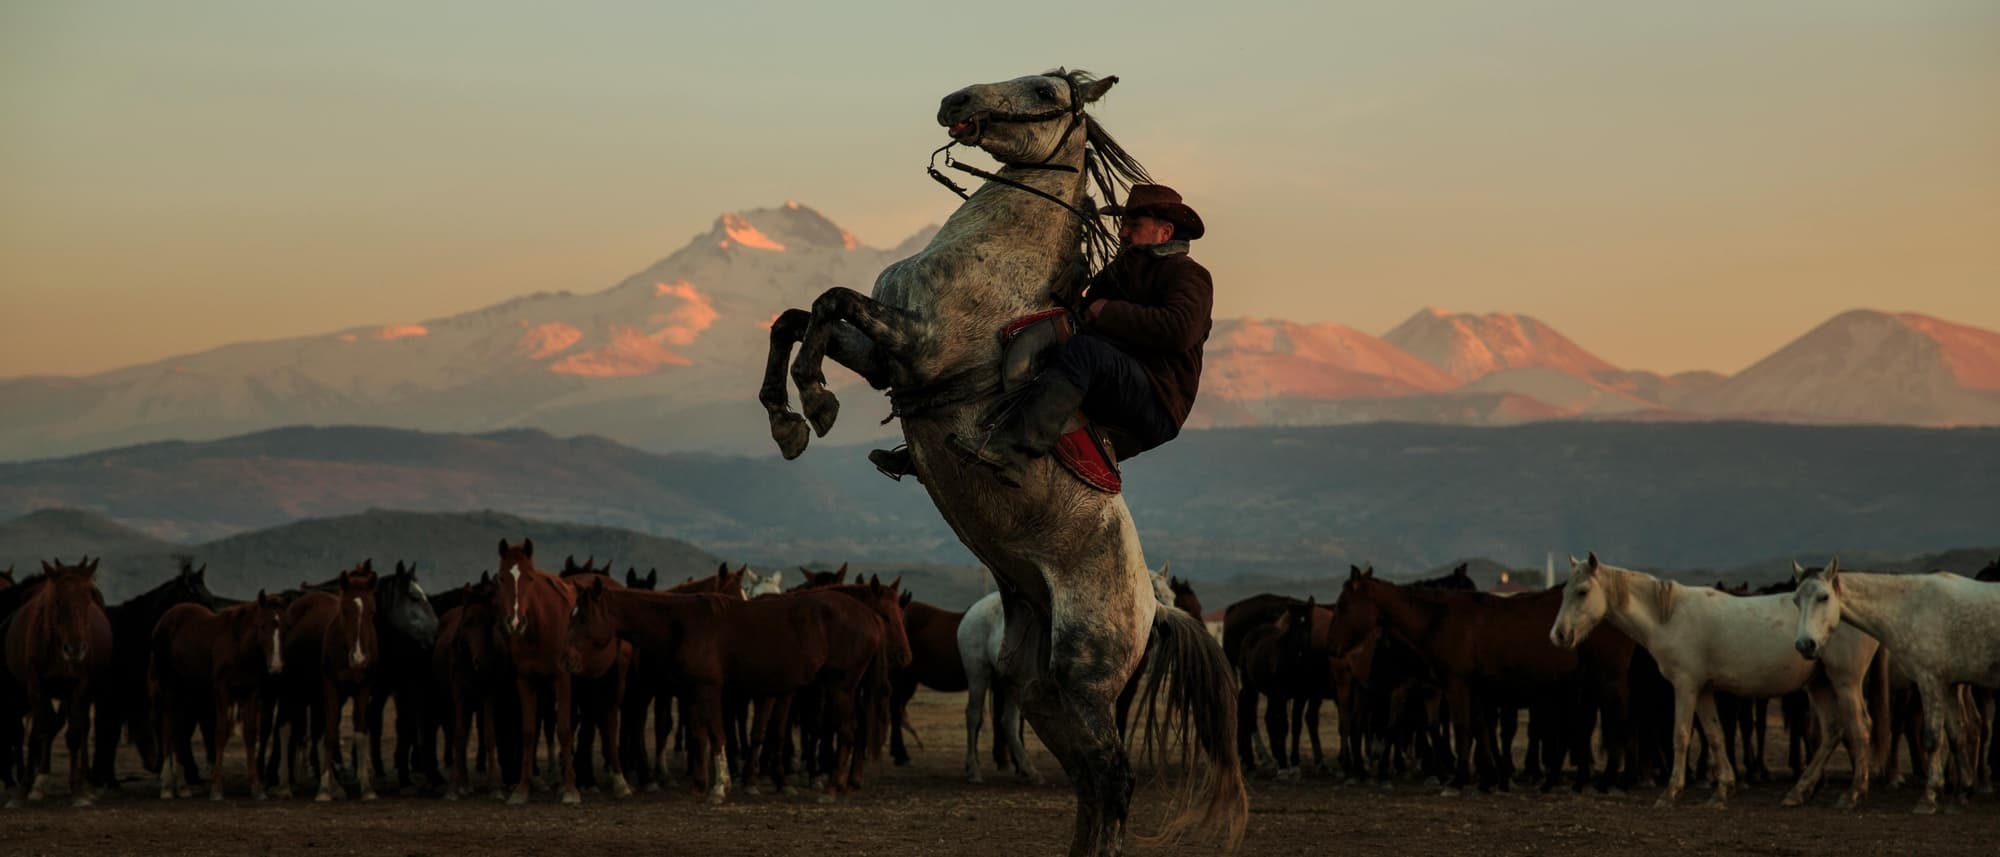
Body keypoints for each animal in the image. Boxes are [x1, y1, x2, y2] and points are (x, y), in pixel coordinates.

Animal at [3, 558, 113, 807]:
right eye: (56, 601)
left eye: (87, 599)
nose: (75, 649)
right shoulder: (35, 687)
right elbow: (38, 732)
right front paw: (25, 789)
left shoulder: (79, 687)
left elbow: (73, 734)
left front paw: (78, 791)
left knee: (79, 728)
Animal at [149, 591, 287, 800]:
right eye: (262, 625)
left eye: (283, 627)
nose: (276, 666)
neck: (239, 648)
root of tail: (165, 619)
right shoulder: (222, 692)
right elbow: (220, 732)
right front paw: (216, 788)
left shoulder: (251, 693)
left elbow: (249, 733)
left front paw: (256, 787)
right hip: (170, 689)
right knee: (167, 727)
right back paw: (166, 786)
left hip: (188, 692)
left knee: (180, 730)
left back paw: (183, 786)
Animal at [759, 67, 1242, 854]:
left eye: (1045, 90)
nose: (954, 102)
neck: (994, 262)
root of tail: (1156, 607)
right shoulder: (888, 357)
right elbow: (799, 317)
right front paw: (789, 418)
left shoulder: (917, 345)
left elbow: (828, 301)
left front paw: (814, 400)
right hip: (1039, 686)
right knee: (1088, 780)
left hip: (1084, 675)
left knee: (1116, 779)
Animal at [1552, 554, 1878, 809]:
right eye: (1565, 591)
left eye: (1582, 591)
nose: (1559, 635)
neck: (1668, 615)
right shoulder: (1704, 690)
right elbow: (1715, 735)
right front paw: (1722, 790)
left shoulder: (1685, 686)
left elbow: (1681, 735)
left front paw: (1671, 793)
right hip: (1819, 684)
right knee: (1833, 731)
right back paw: (1799, 792)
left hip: (1845, 682)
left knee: (1859, 728)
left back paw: (1853, 795)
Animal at [1793, 558, 2000, 813]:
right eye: (1796, 600)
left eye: (1824, 597)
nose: (1805, 644)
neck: (1912, 609)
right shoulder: (1949, 685)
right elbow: (1956, 736)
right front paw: (1963, 792)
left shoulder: (1930, 681)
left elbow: (1932, 739)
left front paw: (1929, 798)